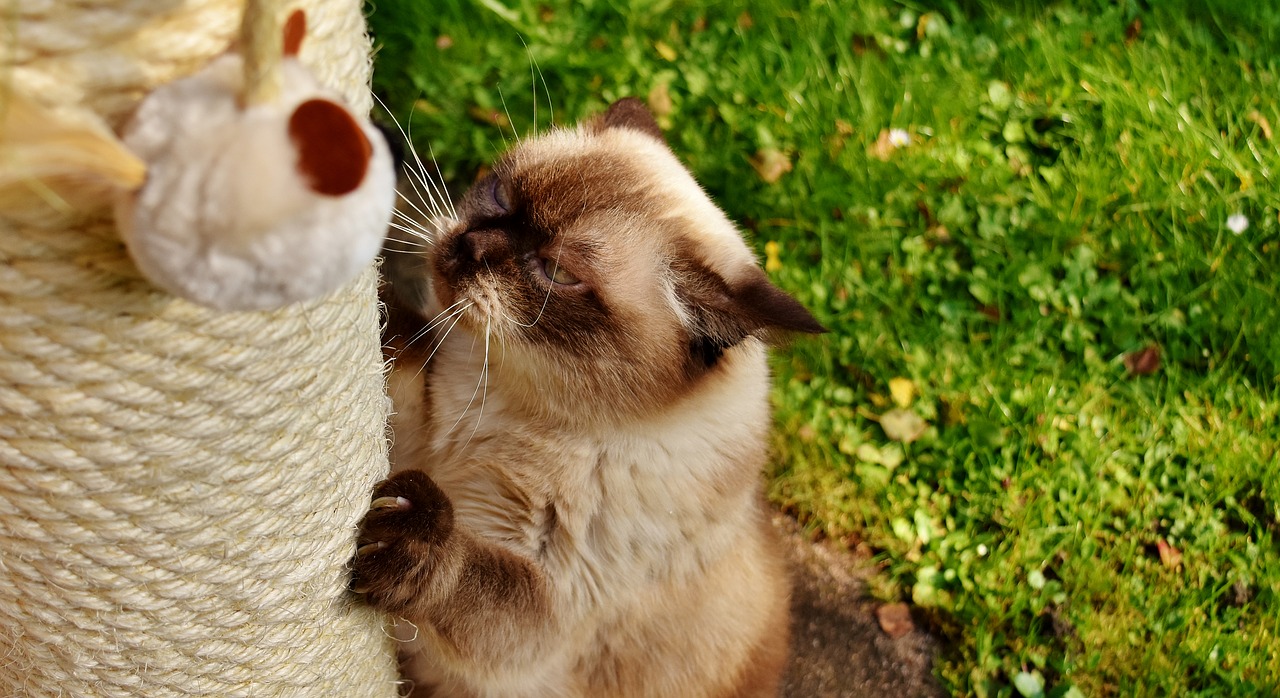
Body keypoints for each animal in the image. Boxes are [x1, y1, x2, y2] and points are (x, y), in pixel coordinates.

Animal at [355, 99, 824, 696]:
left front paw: (411, 538)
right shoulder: (420, 425)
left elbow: (475, 579)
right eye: (500, 197)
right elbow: (404, 351)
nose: (468, 246)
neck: (503, 396)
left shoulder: (546, 609)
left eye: (557, 272)